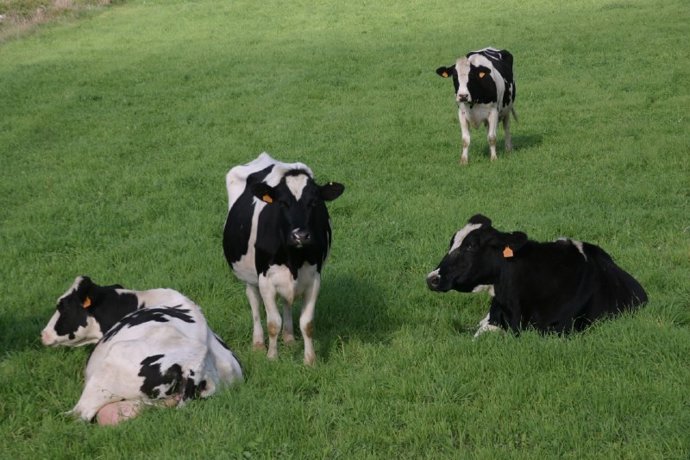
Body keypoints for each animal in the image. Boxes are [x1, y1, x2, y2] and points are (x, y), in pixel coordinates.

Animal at [223, 153, 344, 365]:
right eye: (282, 203)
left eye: (314, 202)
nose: (300, 235)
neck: (293, 257)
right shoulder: (265, 280)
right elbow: (273, 323)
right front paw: (272, 357)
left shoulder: (313, 279)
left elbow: (307, 323)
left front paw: (310, 360)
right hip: (249, 277)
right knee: (254, 303)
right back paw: (258, 343)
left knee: (287, 302)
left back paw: (288, 338)